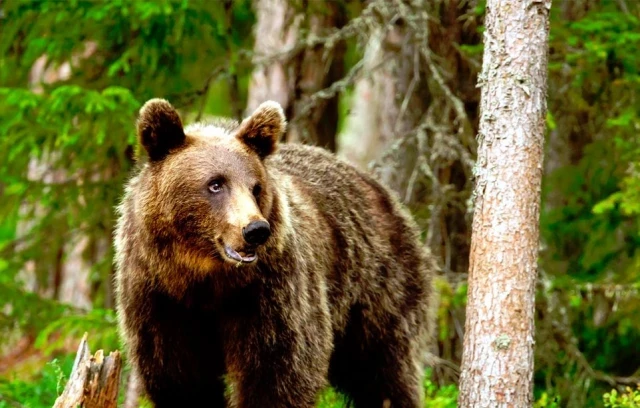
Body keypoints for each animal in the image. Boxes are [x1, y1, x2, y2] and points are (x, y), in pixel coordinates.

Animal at [112, 99, 438, 408]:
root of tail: (382, 192)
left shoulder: (270, 293)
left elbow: (279, 370)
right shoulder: (159, 298)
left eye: (255, 187)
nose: (255, 229)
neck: (204, 277)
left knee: (384, 371)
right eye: (215, 184)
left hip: (378, 287)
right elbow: (180, 377)